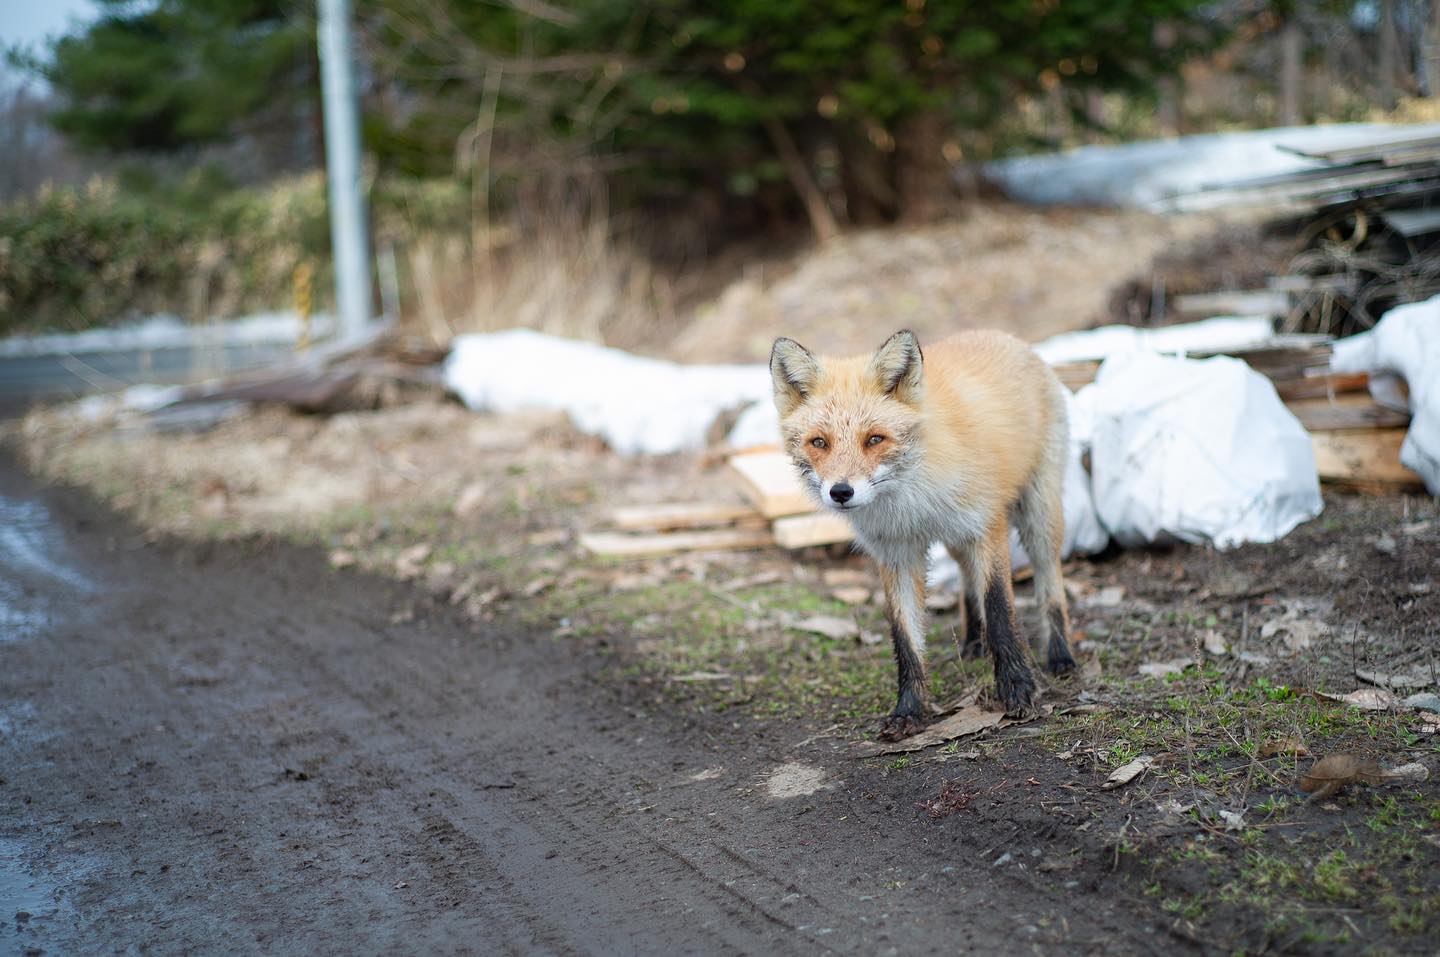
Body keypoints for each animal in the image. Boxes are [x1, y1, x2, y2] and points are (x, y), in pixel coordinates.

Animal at [771, 330, 1077, 736]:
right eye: (819, 442)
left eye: (875, 439)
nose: (840, 492)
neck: (912, 499)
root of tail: (1004, 336)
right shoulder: (896, 553)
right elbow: (906, 639)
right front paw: (910, 711)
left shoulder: (987, 526)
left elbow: (999, 610)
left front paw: (1017, 689)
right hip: (958, 538)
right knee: (967, 579)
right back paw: (975, 642)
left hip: (1038, 515)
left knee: (1049, 581)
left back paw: (1060, 655)